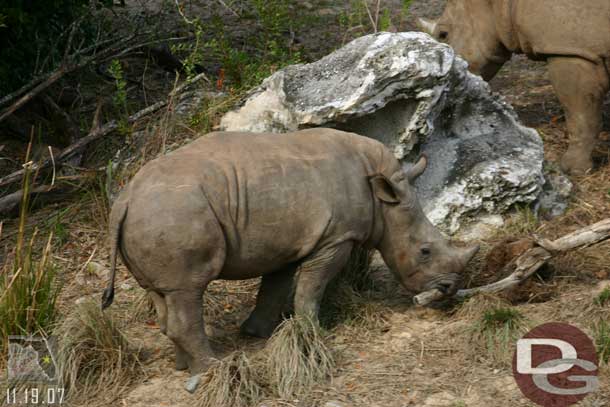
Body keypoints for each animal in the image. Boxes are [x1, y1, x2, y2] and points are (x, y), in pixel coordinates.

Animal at [101, 129, 480, 378]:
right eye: (424, 251)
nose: (448, 289)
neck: (385, 200)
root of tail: (123, 200)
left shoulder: (285, 242)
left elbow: (274, 288)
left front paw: (258, 334)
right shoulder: (334, 238)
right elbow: (311, 289)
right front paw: (313, 333)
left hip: (155, 216)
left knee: (163, 293)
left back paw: (184, 367)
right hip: (174, 214)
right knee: (188, 289)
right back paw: (214, 369)